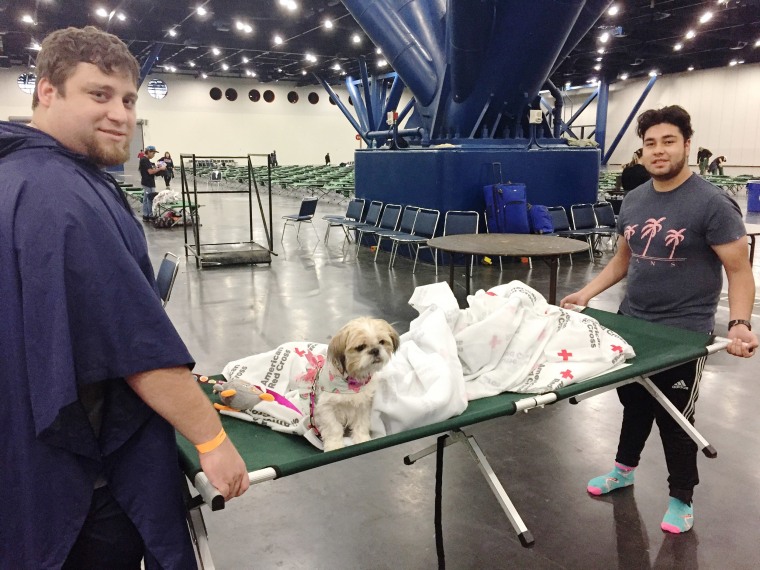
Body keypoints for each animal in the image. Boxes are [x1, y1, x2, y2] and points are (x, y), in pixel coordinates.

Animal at [312, 316, 400, 448]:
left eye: (382, 342)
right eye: (360, 347)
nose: (375, 350)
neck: (352, 384)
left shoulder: (363, 406)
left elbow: (361, 424)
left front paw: (362, 439)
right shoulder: (326, 408)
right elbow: (333, 428)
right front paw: (334, 445)